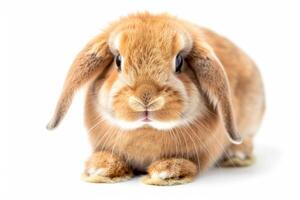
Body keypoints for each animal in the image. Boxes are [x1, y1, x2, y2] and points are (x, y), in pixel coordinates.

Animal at [46, 12, 264, 186]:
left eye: (179, 61)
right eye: (118, 61)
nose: (146, 98)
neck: (146, 131)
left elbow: (191, 164)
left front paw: (164, 173)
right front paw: (100, 169)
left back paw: (238, 154)